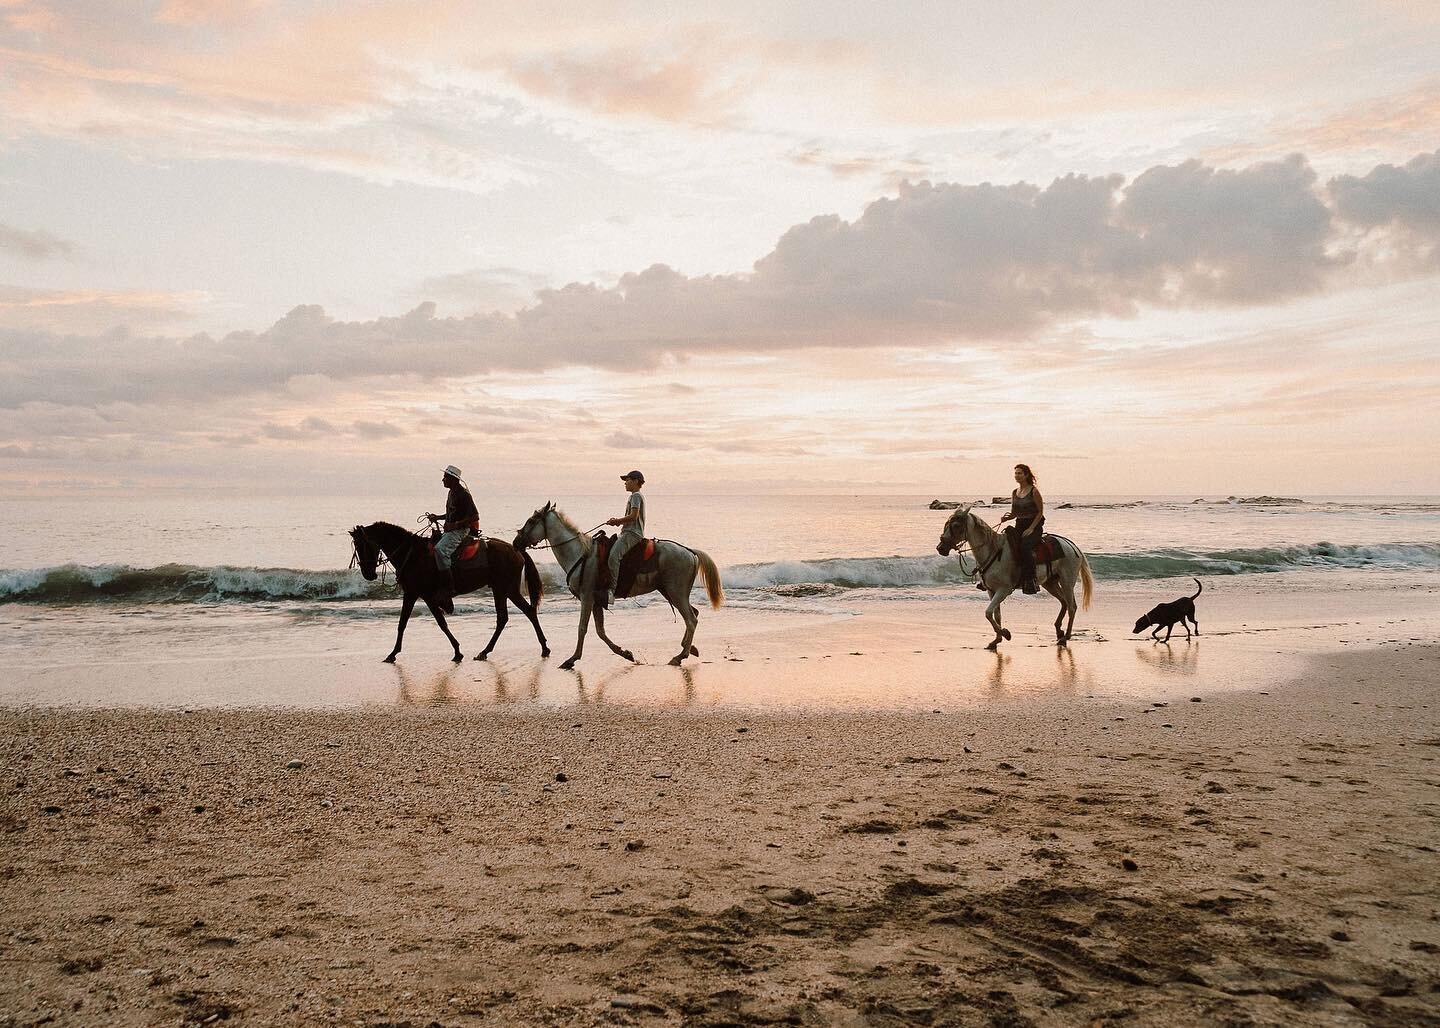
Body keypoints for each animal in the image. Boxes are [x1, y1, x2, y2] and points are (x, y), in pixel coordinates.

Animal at [351, 521, 547, 665]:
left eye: (363, 546)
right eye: (357, 548)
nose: (368, 574)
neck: (412, 555)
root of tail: (517, 551)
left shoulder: (425, 595)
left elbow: (440, 623)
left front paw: (457, 651)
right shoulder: (412, 593)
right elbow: (403, 624)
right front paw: (393, 653)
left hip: (503, 588)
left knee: (509, 616)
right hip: (506, 589)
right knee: (522, 613)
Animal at [512, 503, 725, 665]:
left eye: (531, 521)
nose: (515, 542)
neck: (579, 553)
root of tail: (690, 552)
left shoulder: (587, 597)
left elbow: (582, 628)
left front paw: (572, 659)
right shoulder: (596, 601)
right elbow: (600, 632)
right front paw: (625, 653)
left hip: (676, 591)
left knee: (691, 619)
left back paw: (680, 656)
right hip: (670, 591)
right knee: (693, 614)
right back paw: (688, 648)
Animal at [933, 506, 1088, 647]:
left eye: (956, 526)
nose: (940, 548)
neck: (993, 550)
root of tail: (1073, 546)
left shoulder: (1003, 590)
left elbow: (988, 612)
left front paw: (1005, 634)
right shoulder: (991, 590)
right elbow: (996, 614)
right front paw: (996, 640)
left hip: (1067, 582)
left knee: (1072, 606)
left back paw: (1065, 637)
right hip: (1050, 583)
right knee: (1064, 602)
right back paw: (1059, 631)